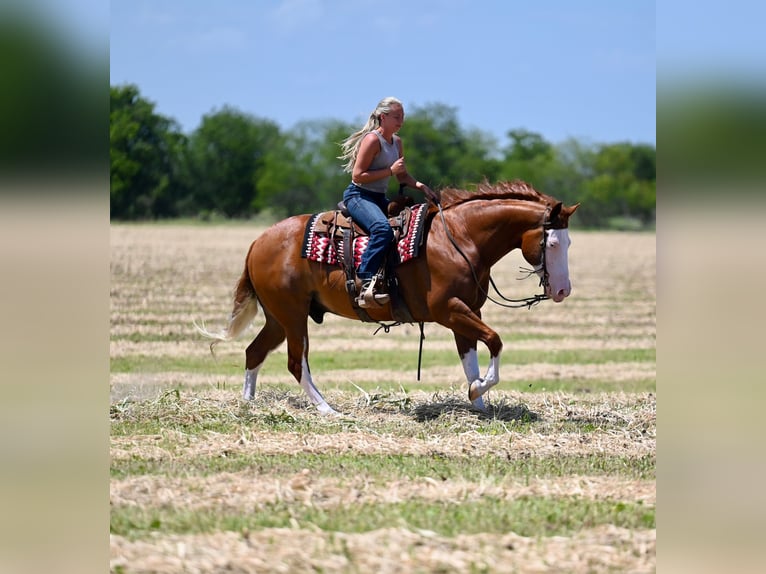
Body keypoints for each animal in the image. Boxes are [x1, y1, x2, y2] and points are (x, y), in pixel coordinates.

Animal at [197, 180, 579, 415]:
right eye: (552, 242)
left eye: (569, 242)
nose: (563, 291)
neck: (459, 239)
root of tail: (258, 241)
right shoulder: (448, 310)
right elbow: (495, 341)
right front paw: (478, 391)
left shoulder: (466, 312)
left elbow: (470, 356)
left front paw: (478, 401)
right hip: (292, 316)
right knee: (295, 362)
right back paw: (328, 410)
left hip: (279, 317)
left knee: (254, 352)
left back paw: (248, 405)